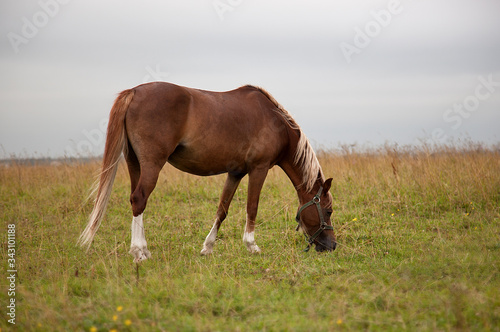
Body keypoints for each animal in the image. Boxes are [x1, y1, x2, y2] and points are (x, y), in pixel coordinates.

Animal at [78, 81, 336, 262]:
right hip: (152, 164)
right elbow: (252, 207)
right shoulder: (258, 169)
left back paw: (143, 250)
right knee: (140, 199)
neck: (275, 122)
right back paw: (139, 252)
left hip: (135, 164)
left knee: (135, 201)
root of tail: (134, 91)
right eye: (328, 210)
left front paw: (208, 247)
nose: (332, 246)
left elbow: (222, 209)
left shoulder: (235, 173)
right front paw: (251, 245)